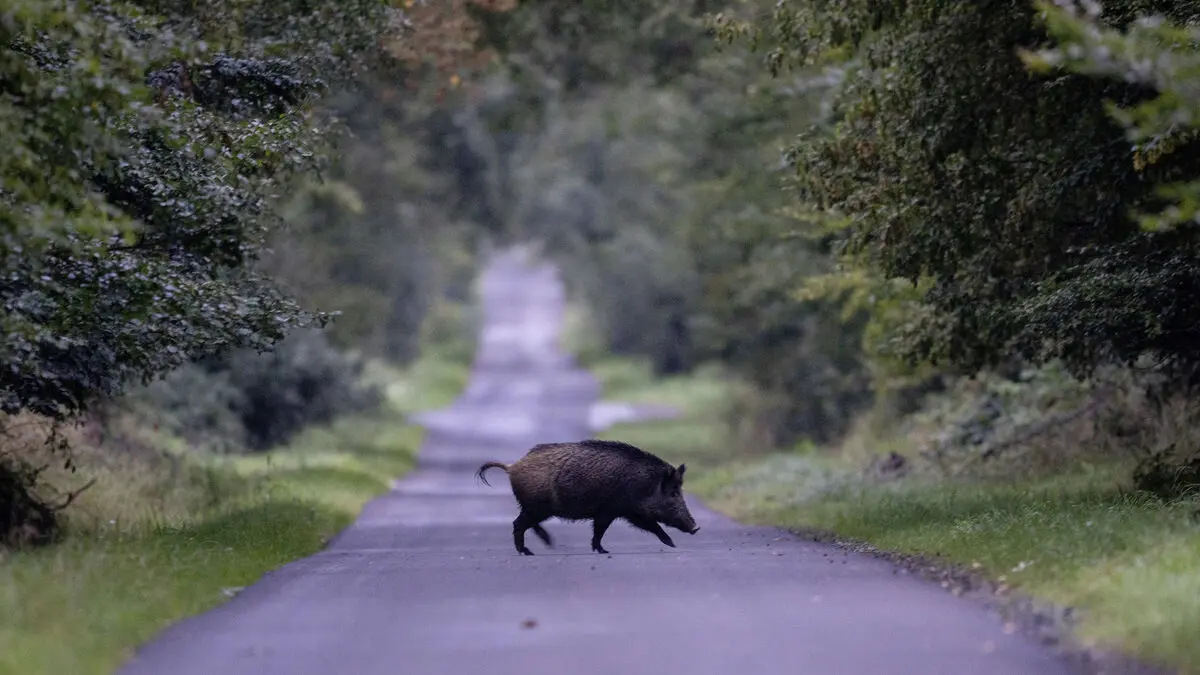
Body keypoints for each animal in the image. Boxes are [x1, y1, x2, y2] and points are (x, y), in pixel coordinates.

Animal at [475, 439, 701, 555]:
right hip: (537, 506)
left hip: (533, 507)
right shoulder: (618, 510)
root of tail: (512, 466)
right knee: (518, 524)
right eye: (673, 493)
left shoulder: (618, 511)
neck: (645, 485)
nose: (696, 527)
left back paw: (546, 544)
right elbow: (606, 529)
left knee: (525, 523)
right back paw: (528, 551)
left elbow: (600, 530)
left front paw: (600, 550)